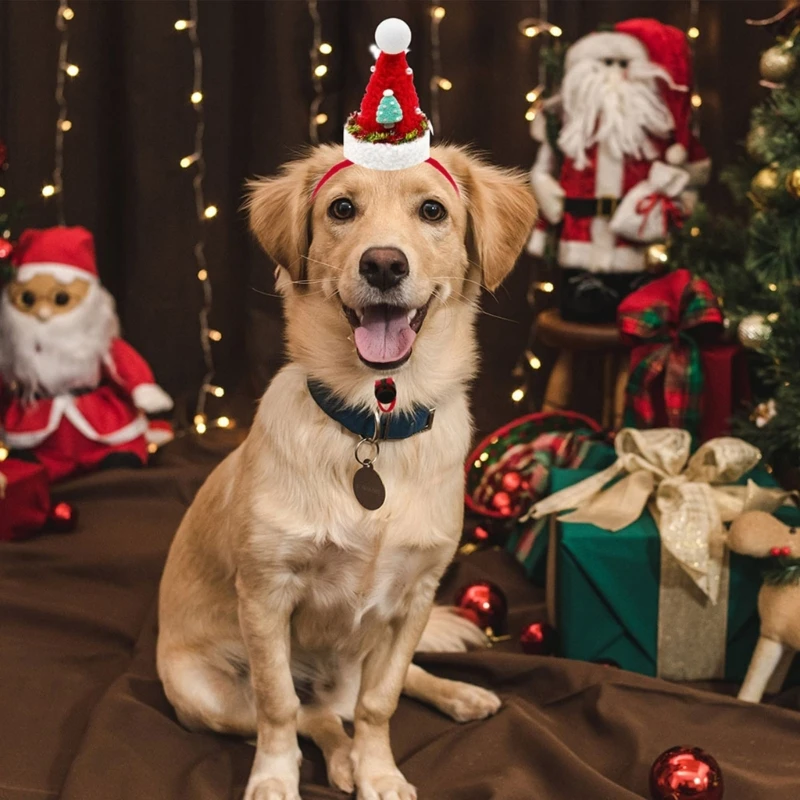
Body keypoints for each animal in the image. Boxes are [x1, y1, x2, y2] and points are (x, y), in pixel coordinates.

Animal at [155, 145, 536, 800]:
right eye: (341, 209)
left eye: (432, 210)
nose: (383, 264)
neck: (374, 424)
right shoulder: (266, 595)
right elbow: (278, 704)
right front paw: (275, 778)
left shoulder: (414, 597)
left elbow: (382, 702)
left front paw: (380, 771)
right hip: (202, 691)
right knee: (316, 715)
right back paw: (338, 759)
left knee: (371, 695)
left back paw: (456, 696)